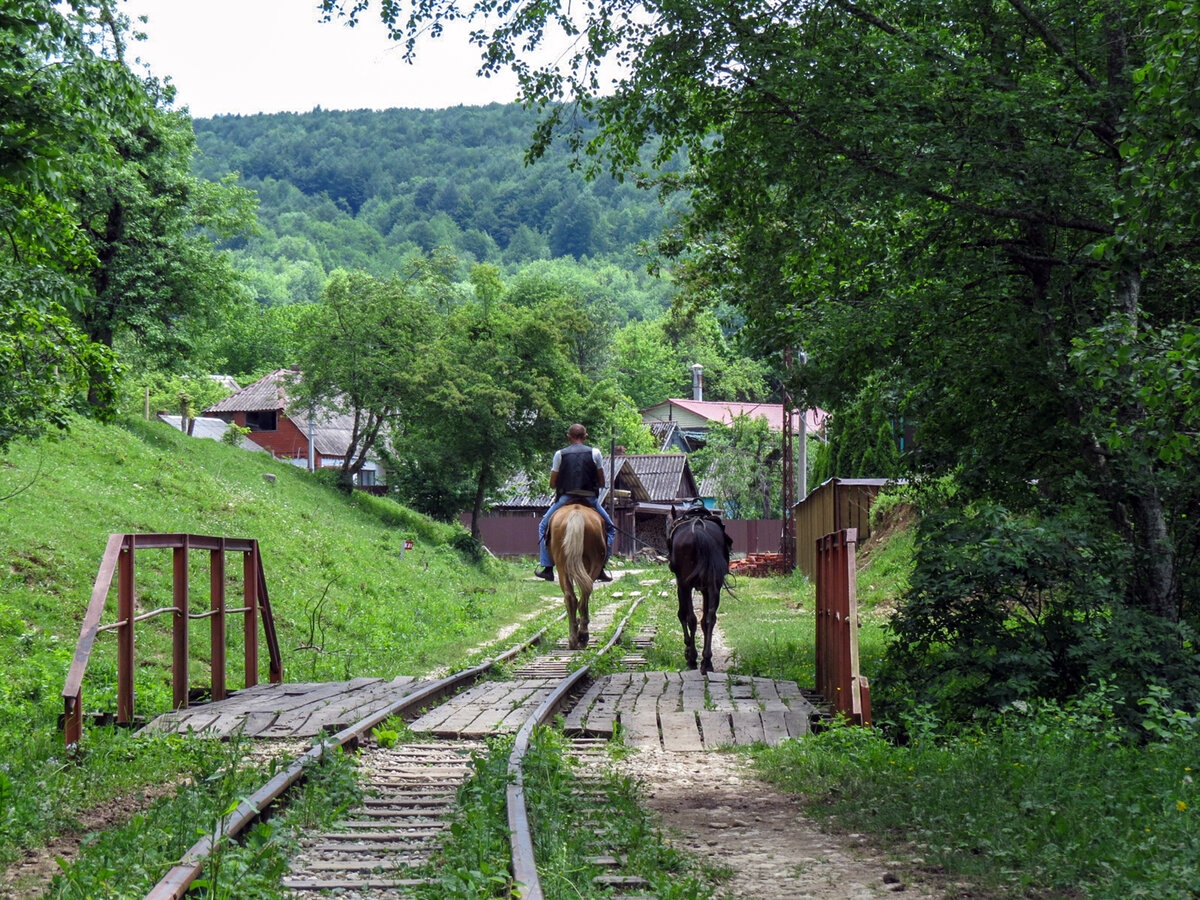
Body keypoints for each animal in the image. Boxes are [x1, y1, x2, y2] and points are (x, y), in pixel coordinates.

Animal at [552, 504, 609, 652]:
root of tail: (576, 511)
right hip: (591, 563)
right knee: (582, 594)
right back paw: (580, 636)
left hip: (562, 566)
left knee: (574, 597)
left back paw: (576, 638)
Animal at [667, 504, 729, 672]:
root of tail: (700, 530)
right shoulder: (707, 589)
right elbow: (705, 620)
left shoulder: (681, 584)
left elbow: (682, 615)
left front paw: (688, 652)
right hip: (714, 586)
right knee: (710, 618)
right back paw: (707, 661)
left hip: (686, 585)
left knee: (691, 618)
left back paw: (693, 659)